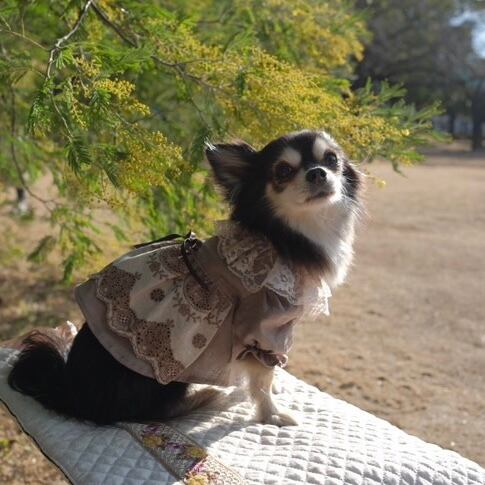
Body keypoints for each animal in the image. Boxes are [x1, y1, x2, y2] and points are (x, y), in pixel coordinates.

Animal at [8, 130, 363, 427]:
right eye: (283, 172)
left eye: (331, 159)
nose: (318, 172)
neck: (286, 234)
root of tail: (73, 393)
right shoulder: (264, 328)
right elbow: (262, 379)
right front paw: (271, 414)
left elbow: (265, 377)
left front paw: (272, 394)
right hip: (164, 378)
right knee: (150, 413)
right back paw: (209, 397)